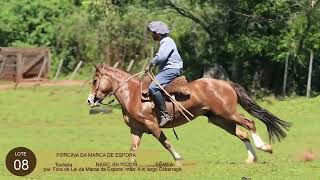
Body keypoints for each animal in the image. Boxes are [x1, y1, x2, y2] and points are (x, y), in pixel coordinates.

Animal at [87, 64, 290, 163]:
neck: (134, 94)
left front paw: (178, 158)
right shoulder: (136, 129)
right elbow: (133, 148)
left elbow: (165, 142)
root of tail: (226, 84)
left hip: (229, 114)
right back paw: (251, 158)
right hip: (220, 120)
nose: (90, 100)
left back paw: (265, 147)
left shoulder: (153, 125)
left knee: (250, 124)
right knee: (242, 134)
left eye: (95, 80)